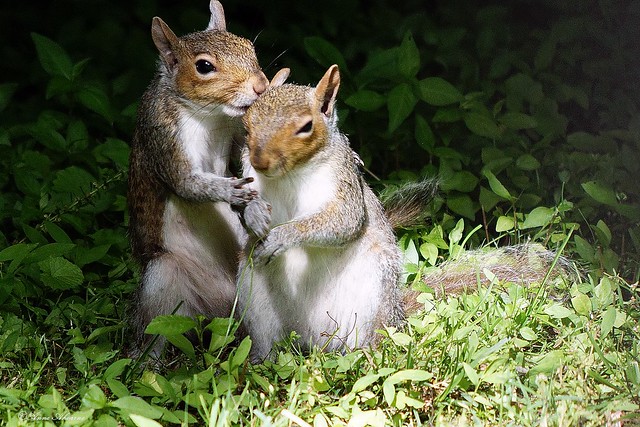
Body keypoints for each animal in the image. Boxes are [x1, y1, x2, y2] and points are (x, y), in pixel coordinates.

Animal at [127, 0, 284, 356]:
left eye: (249, 46)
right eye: (203, 66)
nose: (260, 86)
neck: (211, 116)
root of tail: (220, 307)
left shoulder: (238, 133)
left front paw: (254, 209)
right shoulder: (164, 137)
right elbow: (188, 183)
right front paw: (231, 191)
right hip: (162, 281)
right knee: (155, 332)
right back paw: (148, 363)